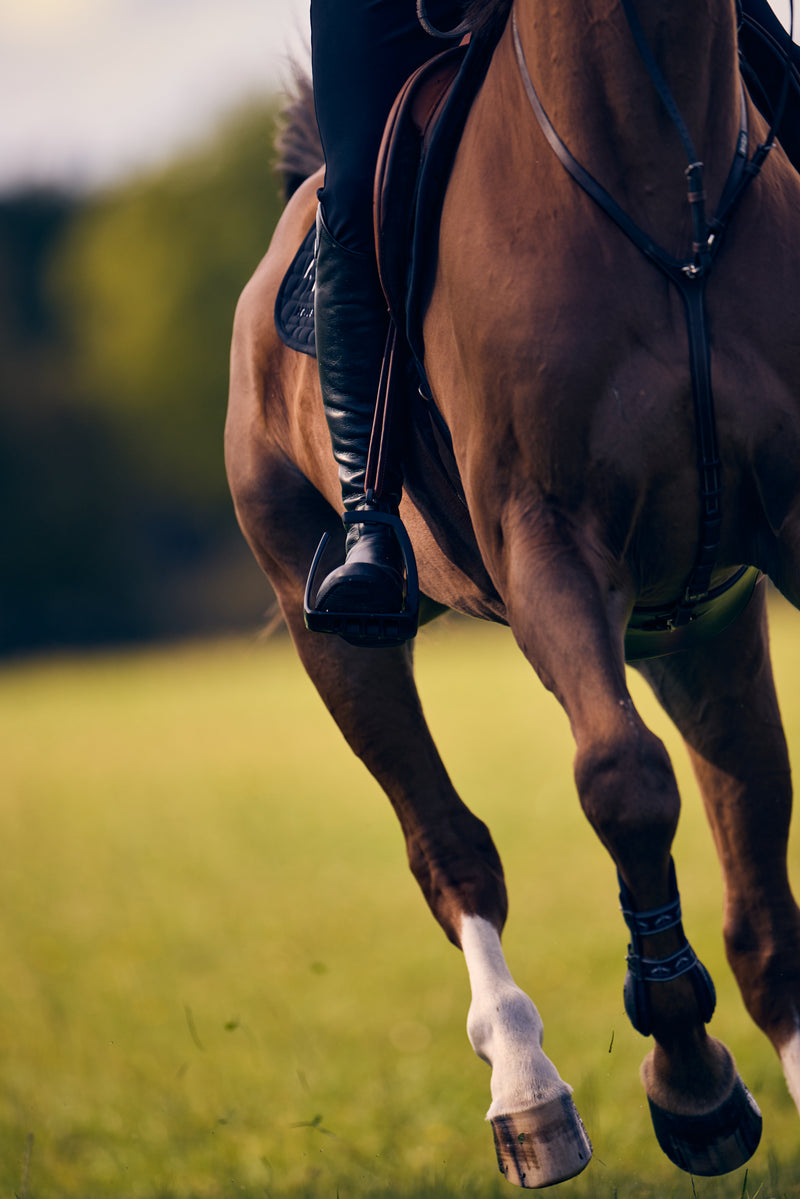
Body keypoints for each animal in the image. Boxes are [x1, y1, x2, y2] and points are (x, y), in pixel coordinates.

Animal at [225, 0, 800, 1186]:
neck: (658, 177)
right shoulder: (549, 544)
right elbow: (622, 781)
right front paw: (690, 1085)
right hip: (331, 626)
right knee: (449, 849)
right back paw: (526, 1091)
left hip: (705, 634)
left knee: (761, 904)